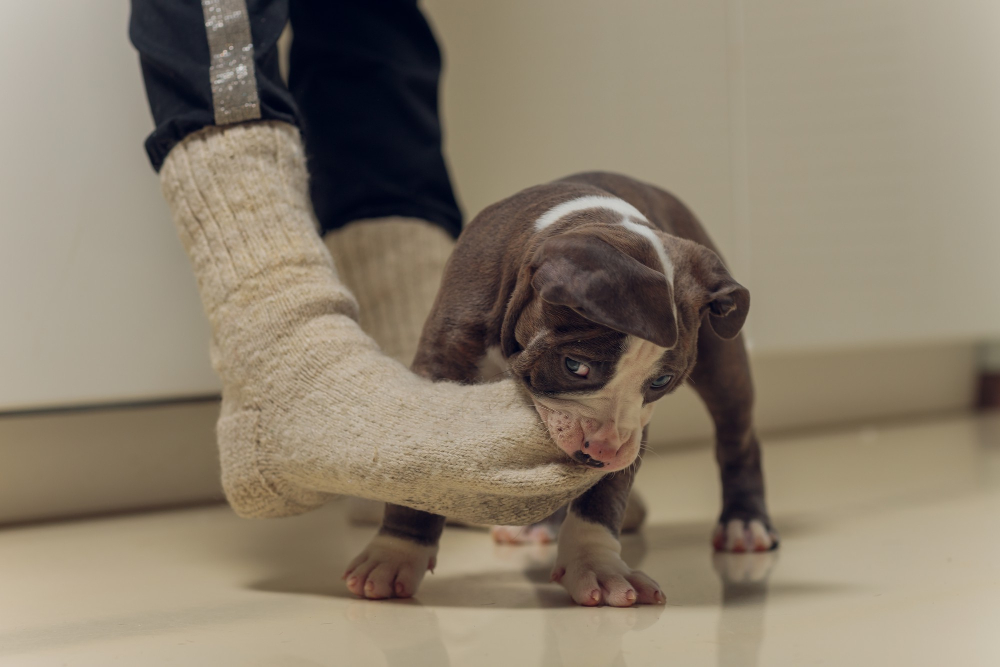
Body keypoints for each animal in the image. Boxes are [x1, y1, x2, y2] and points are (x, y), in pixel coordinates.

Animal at [346, 171, 780, 604]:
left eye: (661, 382)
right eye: (576, 366)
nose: (603, 450)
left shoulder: (633, 425)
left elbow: (603, 495)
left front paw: (596, 565)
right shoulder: (441, 366)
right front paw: (396, 553)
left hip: (724, 364)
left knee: (737, 436)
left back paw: (745, 523)